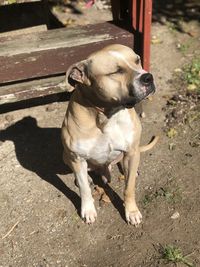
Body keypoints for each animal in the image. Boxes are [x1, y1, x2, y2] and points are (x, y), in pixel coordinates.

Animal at [61, 44, 158, 226]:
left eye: (137, 60)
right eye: (116, 71)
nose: (148, 77)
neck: (107, 115)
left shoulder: (131, 151)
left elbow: (129, 188)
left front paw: (131, 211)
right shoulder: (76, 158)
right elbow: (84, 190)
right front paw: (88, 210)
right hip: (66, 156)